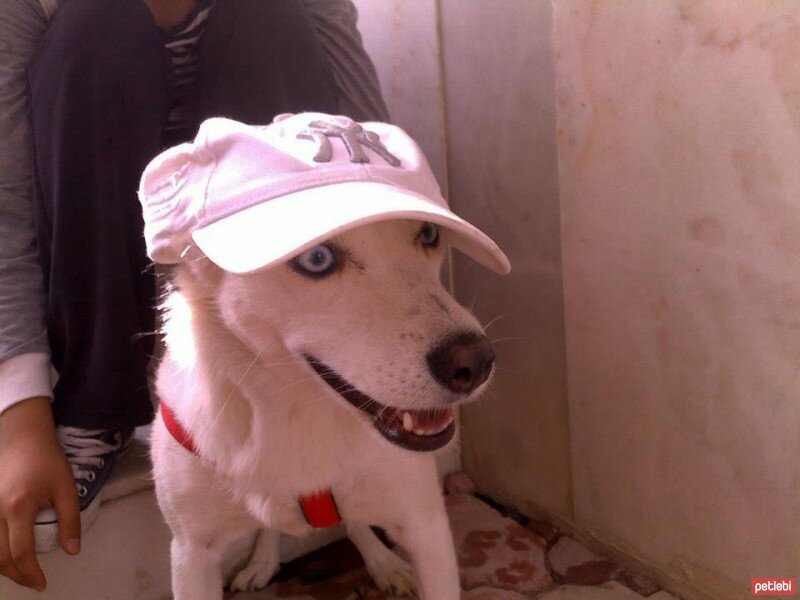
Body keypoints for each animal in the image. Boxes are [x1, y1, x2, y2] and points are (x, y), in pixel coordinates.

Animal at [140, 113, 510, 600]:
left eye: (428, 233)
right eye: (317, 258)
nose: (476, 363)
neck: (299, 410)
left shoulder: (426, 525)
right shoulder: (191, 554)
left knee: (354, 521)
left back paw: (384, 563)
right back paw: (262, 561)